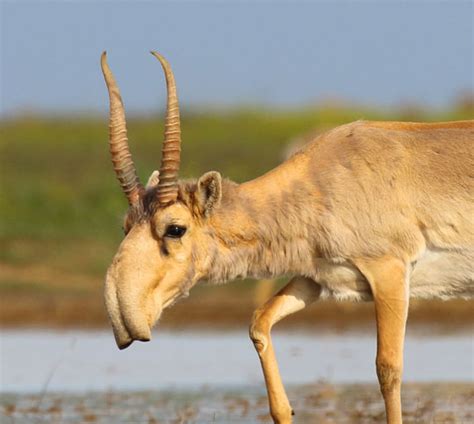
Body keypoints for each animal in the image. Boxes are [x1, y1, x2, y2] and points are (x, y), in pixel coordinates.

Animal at [102, 53, 474, 424]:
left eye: (175, 228)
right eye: (126, 225)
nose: (122, 316)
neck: (322, 180)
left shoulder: (389, 272)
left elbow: (388, 368)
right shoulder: (316, 279)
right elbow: (258, 323)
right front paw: (286, 410)